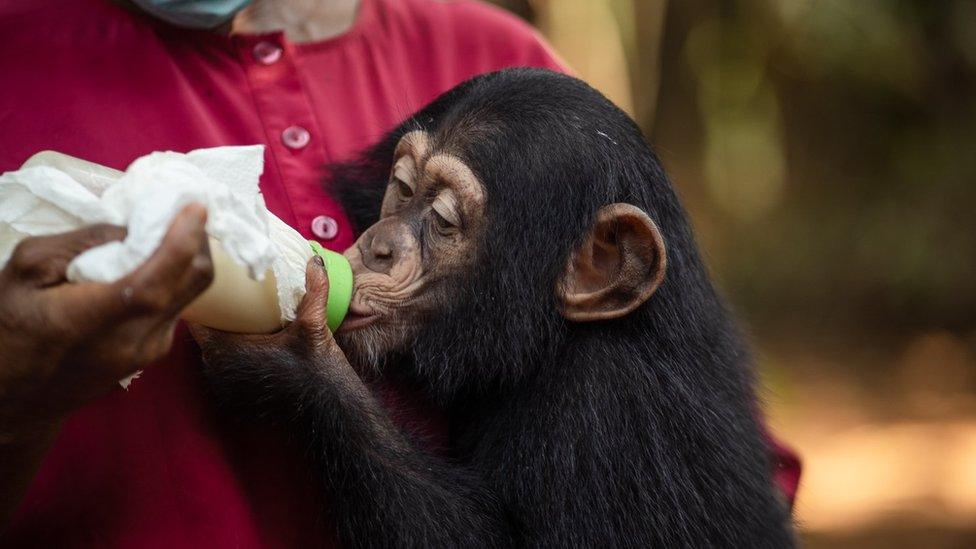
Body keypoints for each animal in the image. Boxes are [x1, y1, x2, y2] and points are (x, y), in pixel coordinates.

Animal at [194, 68, 796, 548]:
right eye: (402, 188)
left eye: (441, 218)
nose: (378, 247)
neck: (556, 338)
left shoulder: (601, 416)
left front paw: (300, 362)